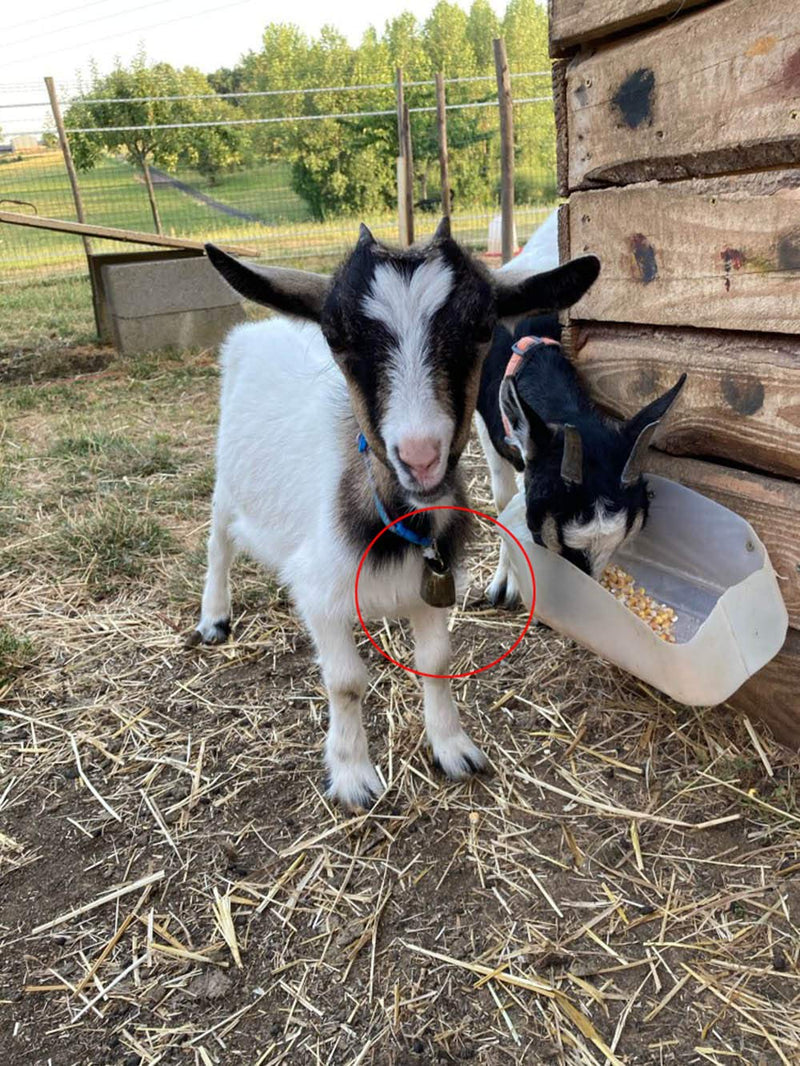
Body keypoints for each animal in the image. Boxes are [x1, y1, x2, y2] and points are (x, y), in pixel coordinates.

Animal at [191, 218, 600, 808]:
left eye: (481, 329)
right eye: (336, 337)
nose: (421, 457)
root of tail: (258, 330)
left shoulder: (431, 588)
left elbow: (436, 662)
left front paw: (453, 748)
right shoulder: (321, 594)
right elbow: (345, 682)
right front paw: (352, 776)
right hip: (227, 484)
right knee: (218, 544)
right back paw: (214, 617)